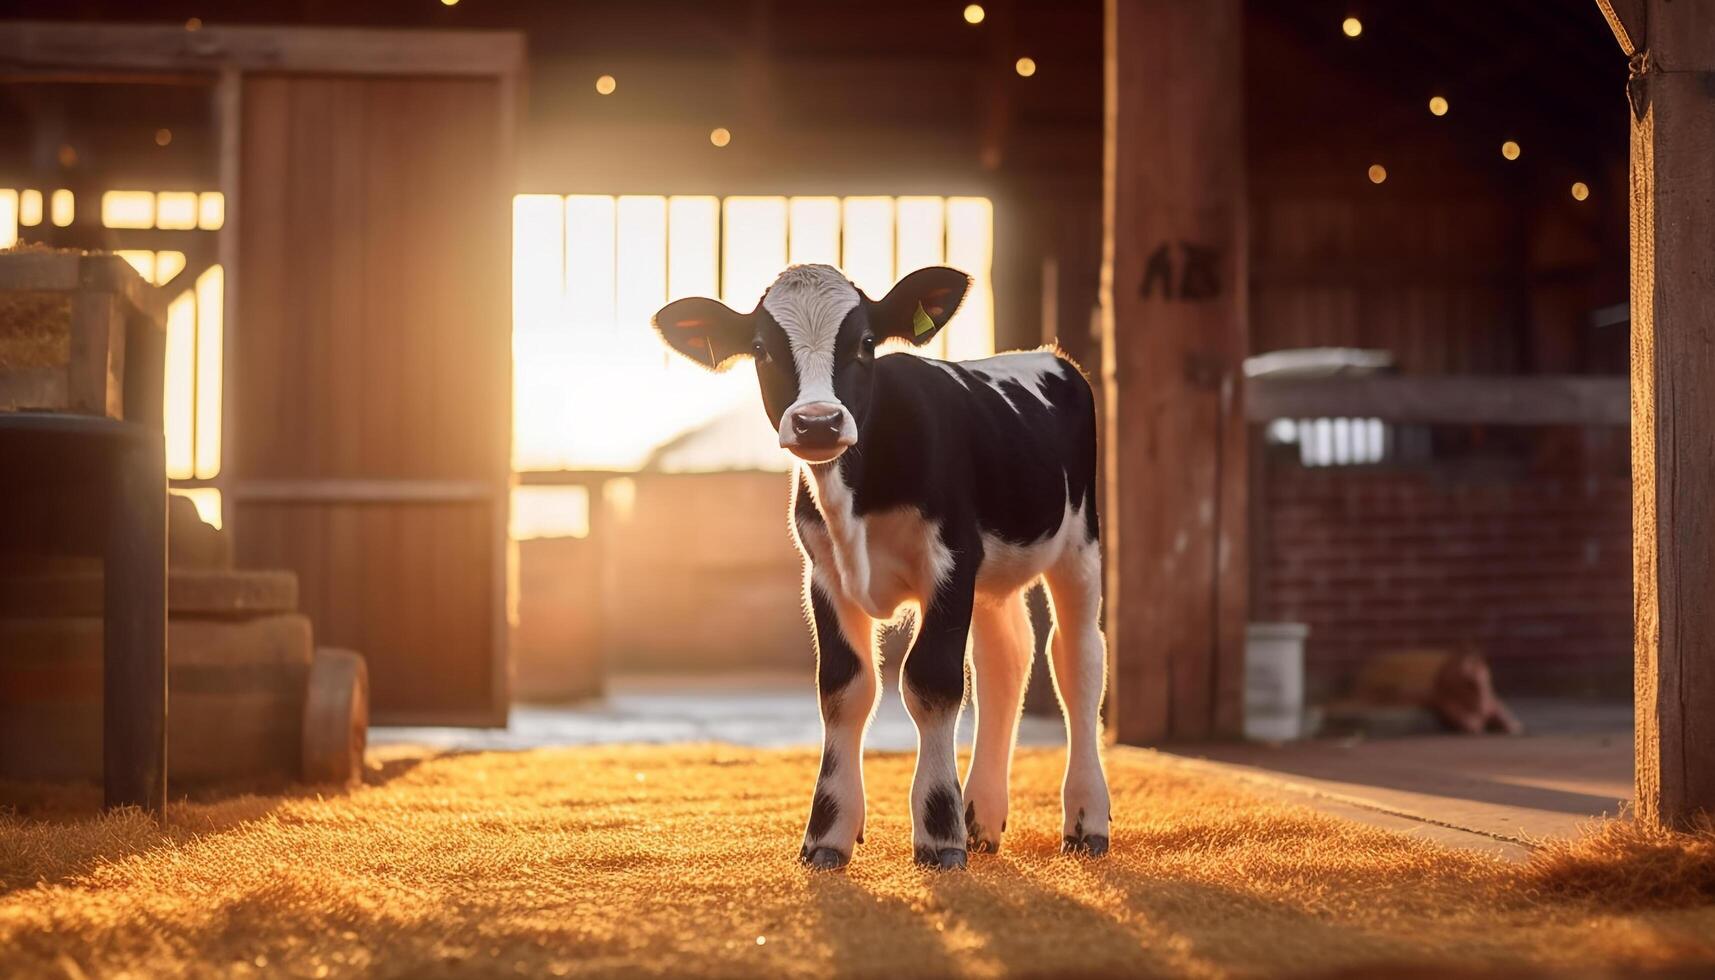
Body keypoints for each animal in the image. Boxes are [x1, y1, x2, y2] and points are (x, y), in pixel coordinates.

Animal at [651, 264, 1111, 871]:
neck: (857, 498)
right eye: (761, 349)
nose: (818, 423)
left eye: (866, 343)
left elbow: (931, 681)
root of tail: (1045, 356)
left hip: (1080, 545)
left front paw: (938, 834)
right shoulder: (824, 573)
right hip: (994, 577)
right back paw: (982, 819)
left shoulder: (951, 560)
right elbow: (844, 689)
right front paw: (829, 833)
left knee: (1077, 659)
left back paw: (1084, 821)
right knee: (1005, 660)